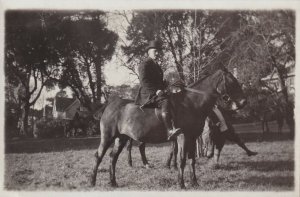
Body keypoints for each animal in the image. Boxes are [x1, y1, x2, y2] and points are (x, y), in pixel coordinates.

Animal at [90, 68, 245, 189]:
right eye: (231, 81)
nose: (243, 102)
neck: (192, 103)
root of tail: (109, 104)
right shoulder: (183, 136)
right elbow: (182, 159)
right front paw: (181, 184)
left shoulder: (192, 137)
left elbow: (192, 160)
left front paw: (194, 182)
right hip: (108, 136)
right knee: (99, 156)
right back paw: (92, 181)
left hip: (121, 138)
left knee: (113, 157)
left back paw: (113, 182)